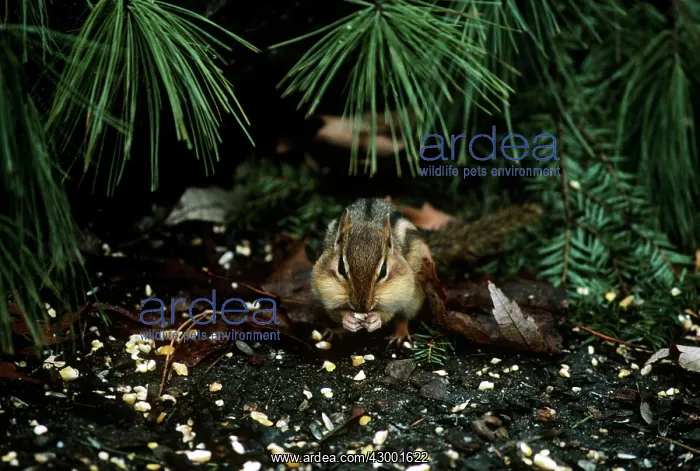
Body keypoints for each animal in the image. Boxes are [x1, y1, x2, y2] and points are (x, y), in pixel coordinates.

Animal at [310, 198, 543, 345]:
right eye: (341, 268)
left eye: (384, 270)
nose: (362, 306)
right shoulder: (324, 292)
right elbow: (335, 311)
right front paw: (347, 320)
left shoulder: (400, 290)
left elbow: (390, 313)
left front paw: (376, 318)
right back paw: (337, 330)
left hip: (415, 293)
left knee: (404, 316)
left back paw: (400, 335)